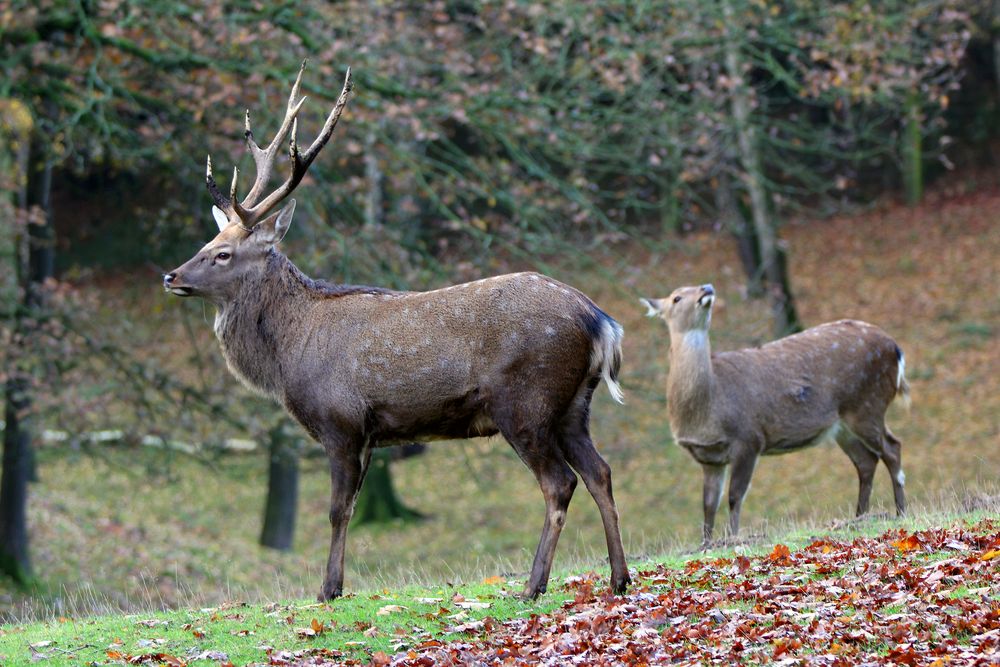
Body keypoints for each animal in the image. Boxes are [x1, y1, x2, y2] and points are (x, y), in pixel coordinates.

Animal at [164, 62, 632, 604]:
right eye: (207, 242)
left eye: (222, 254)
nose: (170, 276)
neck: (289, 358)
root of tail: (600, 321)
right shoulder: (370, 433)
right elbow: (348, 507)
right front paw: (336, 584)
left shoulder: (340, 421)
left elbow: (336, 509)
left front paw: (328, 589)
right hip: (574, 404)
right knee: (600, 472)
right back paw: (619, 578)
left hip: (526, 401)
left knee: (559, 483)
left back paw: (533, 586)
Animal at [640, 284, 916, 544]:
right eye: (676, 297)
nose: (707, 287)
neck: (707, 411)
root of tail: (896, 349)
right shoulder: (709, 458)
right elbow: (708, 504)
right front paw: (706, 543)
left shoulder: (748, 438)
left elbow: (734, 496)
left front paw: (733, 538)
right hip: (842, 426)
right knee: (866, 461)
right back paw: (860, 517)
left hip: (866, 403)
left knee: (892, 448)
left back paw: (900, 512)